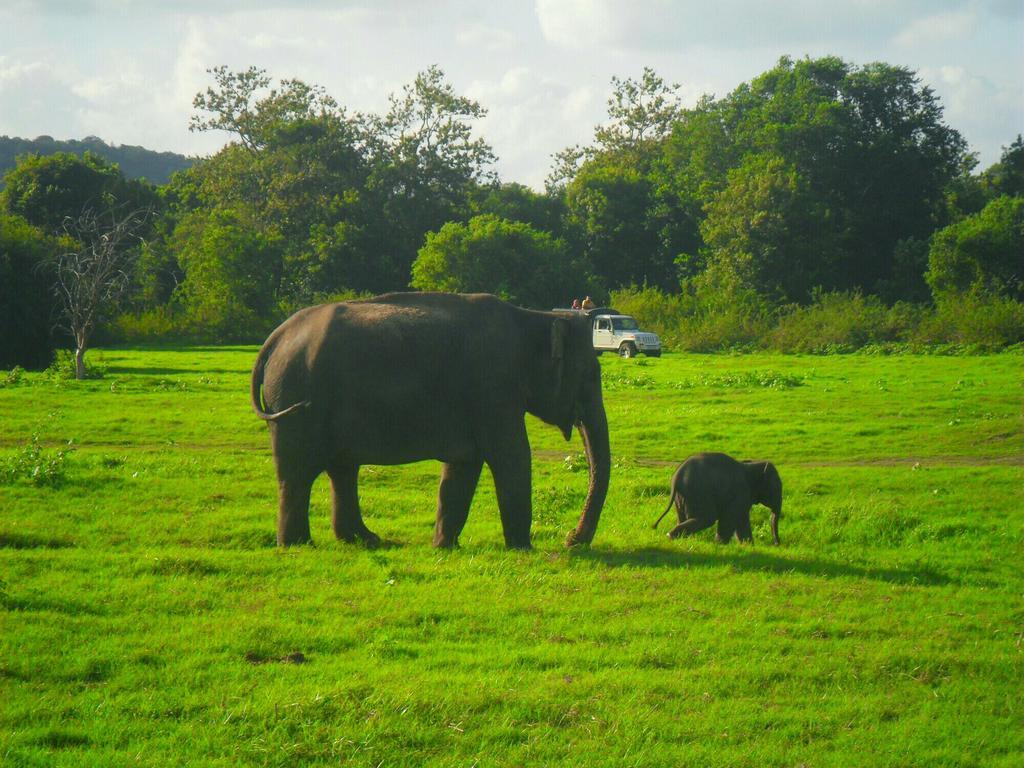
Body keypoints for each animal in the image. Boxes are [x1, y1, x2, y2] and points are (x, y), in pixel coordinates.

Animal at [251, 290, 610, 548]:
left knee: (341, 469)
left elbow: (463, 466)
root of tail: (276, 336)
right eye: (591, 376)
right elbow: (511, 457)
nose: (571, 541)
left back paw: (364, 540)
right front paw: (522, 548)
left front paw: (444, 546)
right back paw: (299, 544)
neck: (533, 317)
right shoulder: (493, 387)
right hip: (296, 396)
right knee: (298, 473)